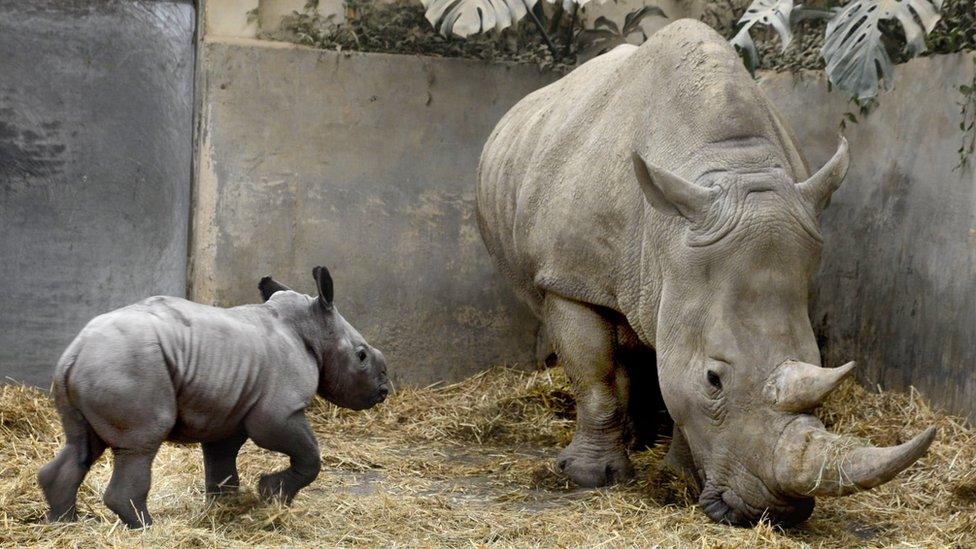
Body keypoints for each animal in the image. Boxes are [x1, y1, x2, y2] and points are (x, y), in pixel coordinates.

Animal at [39, 266, 388, 528]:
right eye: (361, 356)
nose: (383, 390)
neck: (312, 327)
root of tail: (73, 354)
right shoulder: (280, 411)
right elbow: (309, 456)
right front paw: (271, 494)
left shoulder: (231, 409)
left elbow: (222, 461)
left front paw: (227, 507)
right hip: (128, 367)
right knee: (140, 444)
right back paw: (147, 528)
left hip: (99, 369)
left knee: (82, 445)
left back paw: (64, 522)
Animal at [476, 19, 936, 524]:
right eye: (713, 379)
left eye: (816, 361)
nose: (773, 512)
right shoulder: (570, 278)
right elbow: (594, 372)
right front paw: (590, 477)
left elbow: (674, 377)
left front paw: (677, 477)